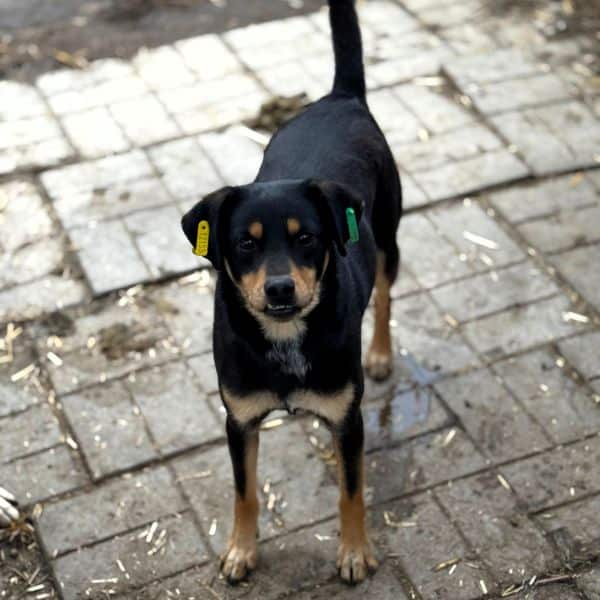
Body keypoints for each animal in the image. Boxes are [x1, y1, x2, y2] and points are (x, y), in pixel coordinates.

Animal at [181, 0, 402, 585]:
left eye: (307, 239)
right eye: (244, 244)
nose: (280, 289)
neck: (283, 336)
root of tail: (340, 97)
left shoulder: (347, 420)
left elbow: (352, 491)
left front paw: (354, 552)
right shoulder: (238, 421)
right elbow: (244, 493)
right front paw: (241, 551)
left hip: (388, 237)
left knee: (386, 295)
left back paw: (380, 354)